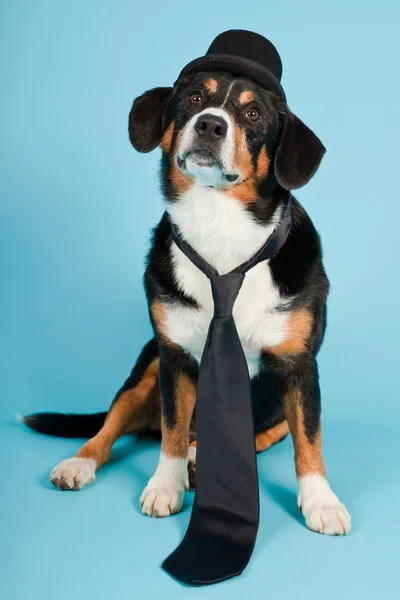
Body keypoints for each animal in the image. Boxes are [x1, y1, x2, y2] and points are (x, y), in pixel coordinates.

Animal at [24, 35, 350, 536]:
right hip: (145, 372)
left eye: (253, 113)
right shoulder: (174, 358)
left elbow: (309, 442)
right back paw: (80, 463)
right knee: (109, 429)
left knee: (263, 435)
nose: (211, 125)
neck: (221, 230)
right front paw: (165, 485)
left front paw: (321, 501)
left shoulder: (300, 368)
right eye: (195, 98)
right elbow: (173, 430)